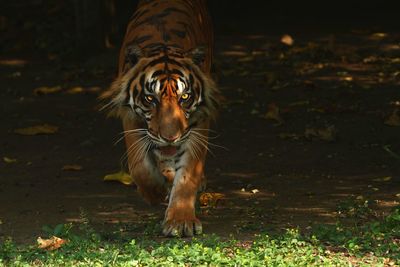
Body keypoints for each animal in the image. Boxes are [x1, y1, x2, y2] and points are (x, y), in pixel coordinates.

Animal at [101, 0, 219, 239]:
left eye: (185, 97)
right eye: (150, 99)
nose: (170, 138)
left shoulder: (198, 123)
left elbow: (188, 174)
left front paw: (181, 221)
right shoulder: (131, 119)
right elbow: (139, 166)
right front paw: (154, 192)